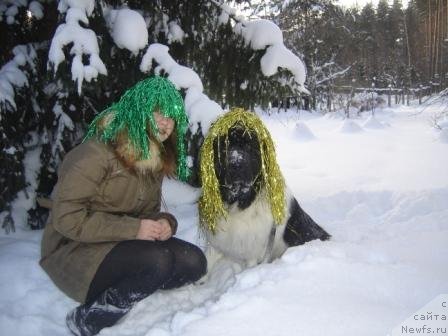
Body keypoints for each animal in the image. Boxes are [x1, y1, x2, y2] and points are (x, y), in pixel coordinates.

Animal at [199, 110, 328, 270]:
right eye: (223, 147)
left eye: (249, 147)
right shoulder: (217, 243)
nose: (236, 164)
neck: (239, 204)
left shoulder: (253, 254)